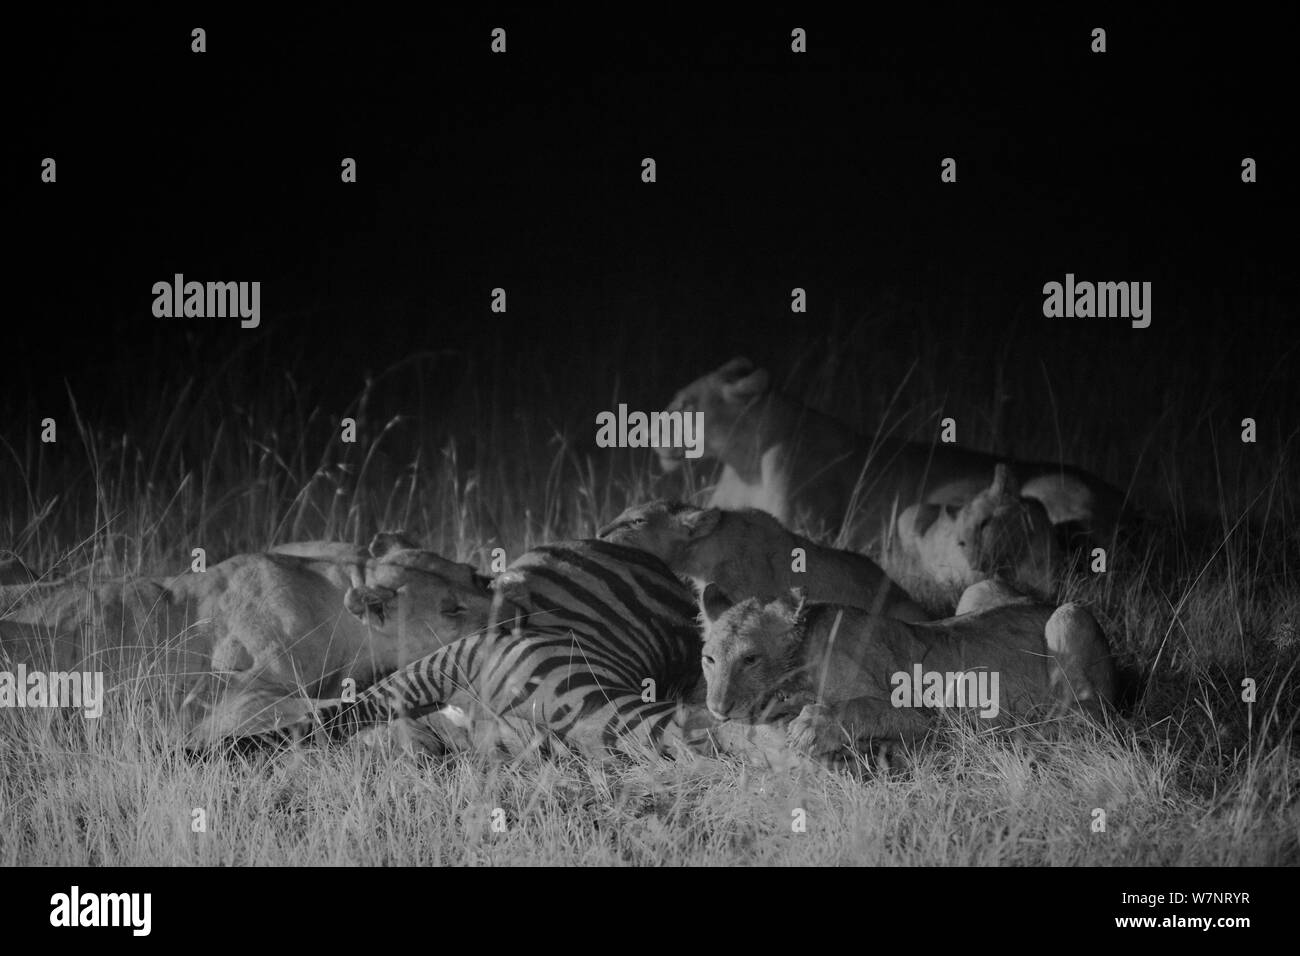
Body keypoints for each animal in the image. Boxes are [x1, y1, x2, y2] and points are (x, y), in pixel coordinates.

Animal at [702, 582, 1118, 754]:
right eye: (709, 659)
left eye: (750, 658)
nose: (716, 708)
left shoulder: (930, 719)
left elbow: (859, 706)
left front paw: (811, 726)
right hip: (978, 589)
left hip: (1070, 615)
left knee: (1088, 718)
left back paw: (1034, 730)